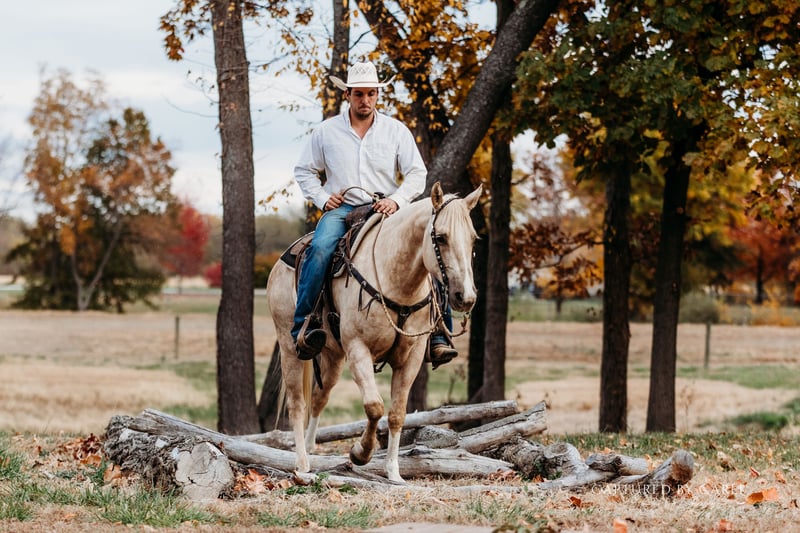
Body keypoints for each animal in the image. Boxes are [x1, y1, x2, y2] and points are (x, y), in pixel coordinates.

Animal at [266, 182, 482, 482]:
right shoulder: (359, 349)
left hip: (333, 356)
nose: (466, 297)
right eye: (440, 237)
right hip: (290, 348)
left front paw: (393, 472)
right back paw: (302, 464)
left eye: (473, 239)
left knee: (319, 398)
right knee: (297, 404)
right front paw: (360, 452)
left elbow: (397, 413)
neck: (398, 283)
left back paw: (310, 449)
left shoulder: (412, 357)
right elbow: (374, 406)